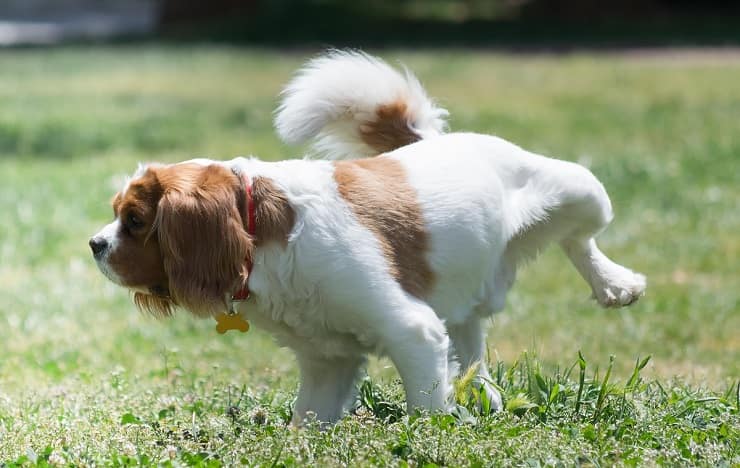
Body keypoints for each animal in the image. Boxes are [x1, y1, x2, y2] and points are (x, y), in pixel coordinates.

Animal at [89, 51, 644, 424]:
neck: (262, 235)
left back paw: (615, 284)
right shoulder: (327, 363)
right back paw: (484, 395)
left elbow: (426, 410)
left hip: (581, 189)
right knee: (471, 343)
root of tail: (436, 140)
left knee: (581, 238)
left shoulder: (413, 332)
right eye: (117, 216)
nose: (95, 244)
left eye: (134, 220)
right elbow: (307, 421)